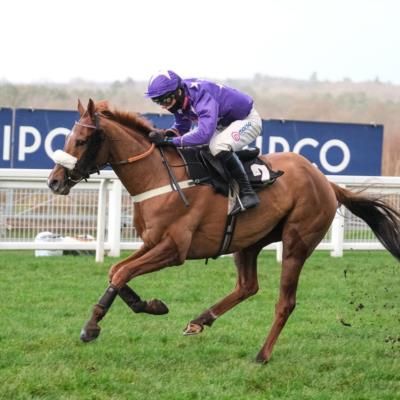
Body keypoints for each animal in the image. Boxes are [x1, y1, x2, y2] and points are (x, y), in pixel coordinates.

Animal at [47, 99, 400, 362]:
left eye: (81, 141)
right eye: (66, 139)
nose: (54, 182)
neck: (158, 177)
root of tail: (325, 181)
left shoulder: (173, 248)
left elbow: (121, 273)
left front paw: (92, 327)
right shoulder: (151, 242)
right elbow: (117, 272)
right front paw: (150, 306)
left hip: (296, 242)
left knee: (285, 302)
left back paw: (262, 355)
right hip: (248, 241)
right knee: (247, 286)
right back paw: (199, 321)